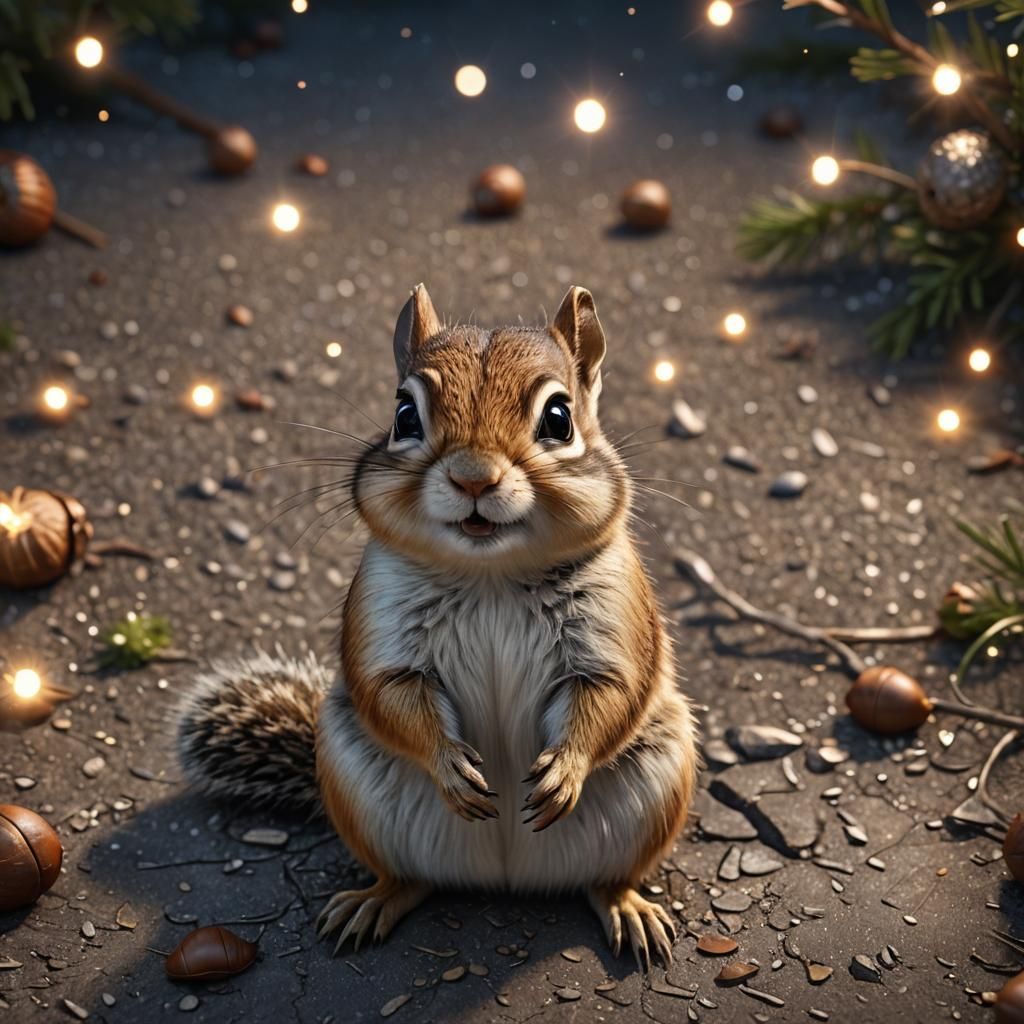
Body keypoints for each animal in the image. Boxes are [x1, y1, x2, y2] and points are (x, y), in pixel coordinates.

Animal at [178, 284, 698, 968]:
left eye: (559, 419)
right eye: (404, 415)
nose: (473, 476)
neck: (491, 574)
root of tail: (507, 879)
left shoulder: (613, 621)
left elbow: (611, 693)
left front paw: (565, 768)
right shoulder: (383, 619)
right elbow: (390, 693)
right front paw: (451, 764)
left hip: (656, 789)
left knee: (606, 880)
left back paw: (628, 907)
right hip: (358, 790)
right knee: (409, 879)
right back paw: (372, 903)